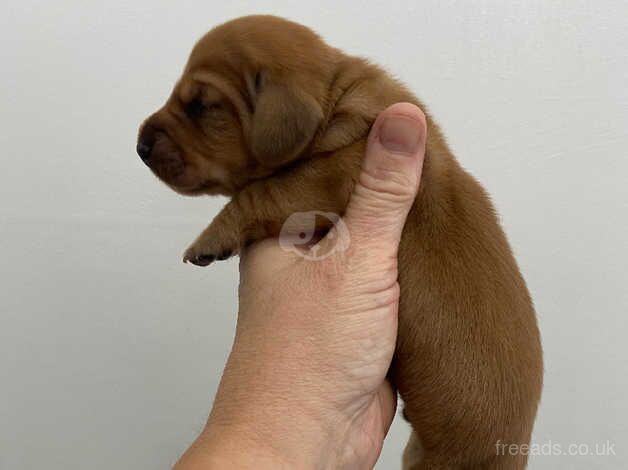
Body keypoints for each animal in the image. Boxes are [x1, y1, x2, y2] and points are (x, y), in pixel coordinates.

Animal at [139, 15, 544, 470]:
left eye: (200, 106)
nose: (139, 146)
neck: (335, 100)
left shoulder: (324, 179)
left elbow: (262, 194)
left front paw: (209, 238)